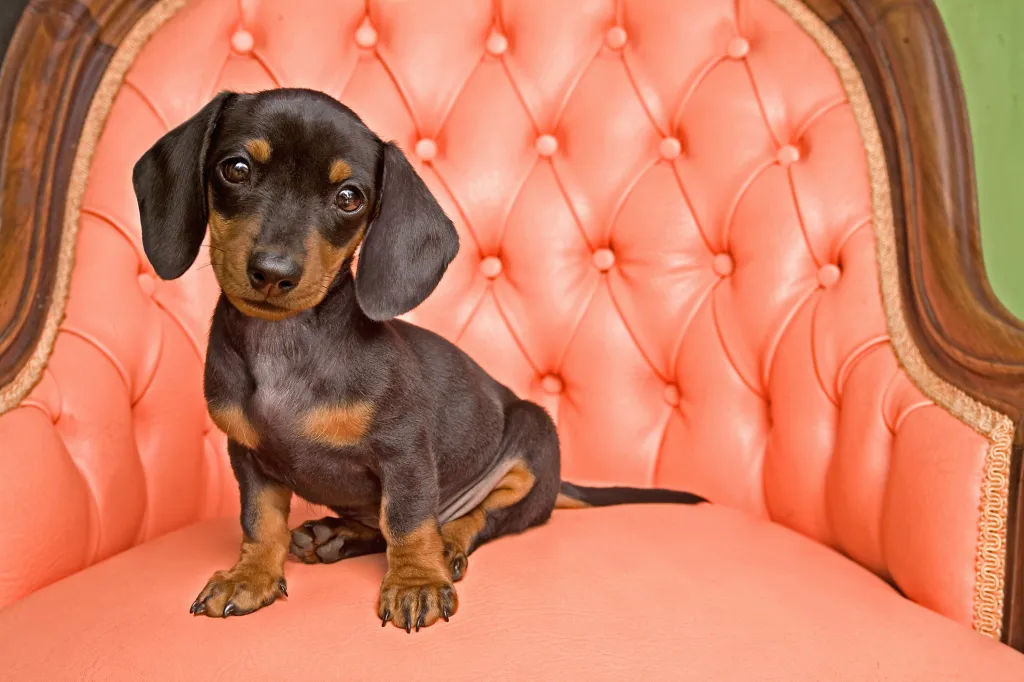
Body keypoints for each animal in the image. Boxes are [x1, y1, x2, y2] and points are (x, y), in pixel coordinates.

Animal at [132, 87, 708, 630]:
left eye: (349, 196)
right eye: (236, 168)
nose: (273, 272)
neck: (286, 347)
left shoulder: (404, 452)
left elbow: (408, 522)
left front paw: (414, 582)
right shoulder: (248, 458)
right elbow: (260, 522)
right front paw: (250, 576)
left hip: (532, 443)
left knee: (477, 519)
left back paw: (443, 546)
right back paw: (335, 536)